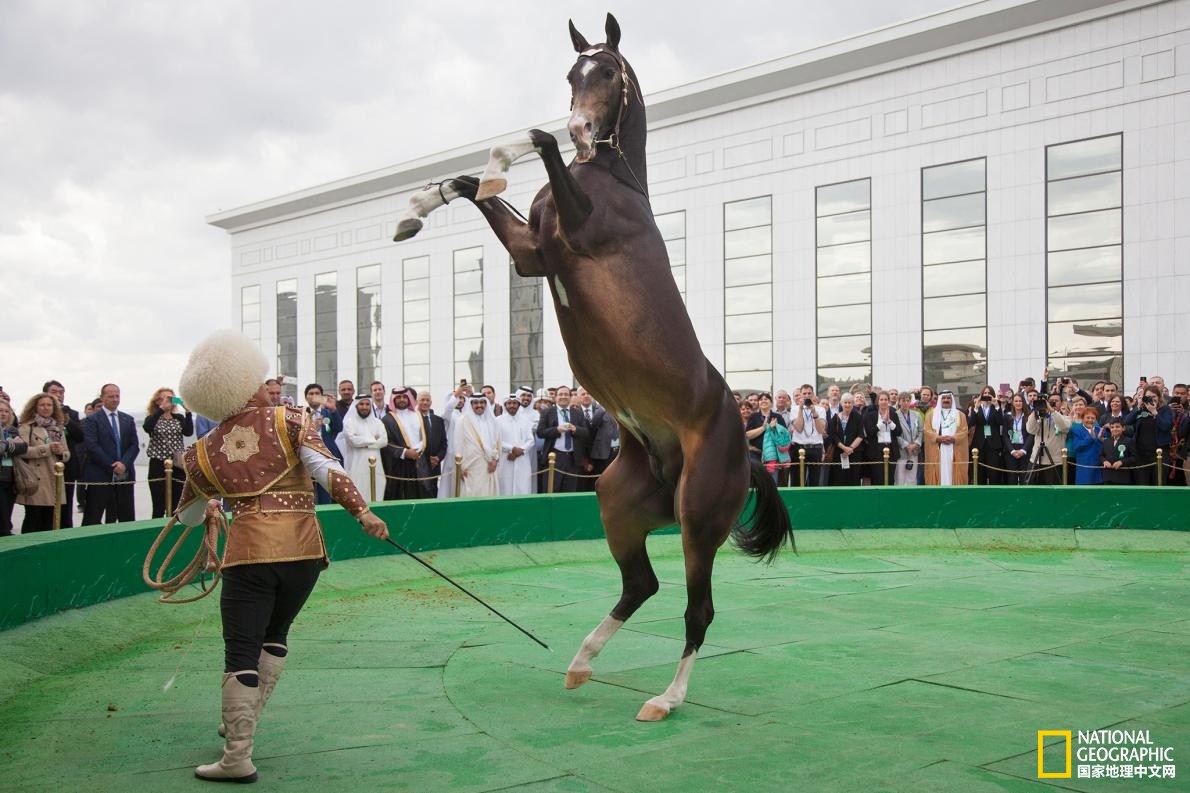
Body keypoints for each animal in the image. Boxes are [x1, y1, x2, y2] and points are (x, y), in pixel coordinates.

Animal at [395, 13, 794, 714]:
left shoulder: (571, 239)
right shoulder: (531, 254)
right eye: (572, 73)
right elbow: (471, 187)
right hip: (619, 503)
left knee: (697, 609)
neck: (611, 183)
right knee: (642, 586)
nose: (583, 129)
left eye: (607, 71)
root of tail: (744, 452)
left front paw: (499, 166)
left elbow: (534, 139)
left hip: (698, 518)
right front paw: (414, 213)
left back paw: (665, 699)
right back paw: (581, 663)